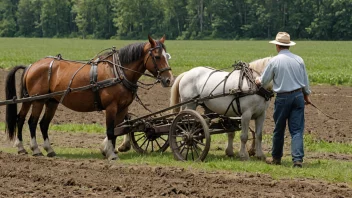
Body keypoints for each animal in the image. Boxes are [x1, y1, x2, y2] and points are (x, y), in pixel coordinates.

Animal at [6, 35, 174, 159]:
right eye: (157, 57)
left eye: (167, 56)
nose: (169, 80)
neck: (118, 72)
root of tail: (31, 65)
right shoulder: (111, 107)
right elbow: (111, 130)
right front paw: (111, 154)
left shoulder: (122, 108)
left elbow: (118, 129)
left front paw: (108, 149)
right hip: (37, 100)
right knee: (31, 122)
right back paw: (34, 149)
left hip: (49, 101)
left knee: (36, 122)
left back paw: (42, 149)